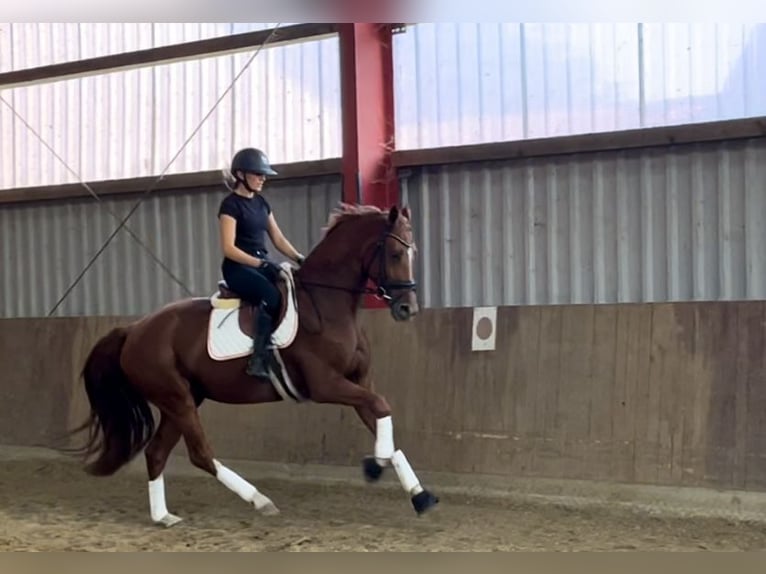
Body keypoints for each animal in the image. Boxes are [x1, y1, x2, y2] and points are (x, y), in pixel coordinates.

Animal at [70, 202, 440, 528]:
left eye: (413, 252)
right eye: (395, 254)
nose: (408, 309)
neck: (326, 304)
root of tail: (134, 329)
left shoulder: (359, 381)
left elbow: (381, 414)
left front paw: (418, 494)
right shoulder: (326, 385)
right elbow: (381, 407)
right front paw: (376, 466)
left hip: (182, 400)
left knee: (157, 452)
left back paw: (163, 517)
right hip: (177, 399)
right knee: (200, 454)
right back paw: (260, 500)